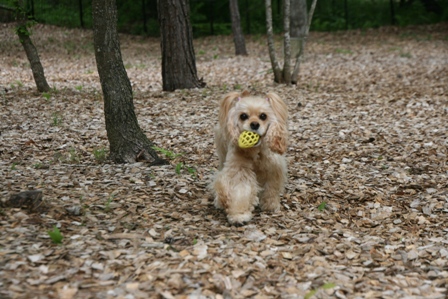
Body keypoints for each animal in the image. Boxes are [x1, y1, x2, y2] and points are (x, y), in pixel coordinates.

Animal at [212, 91, 288, 225]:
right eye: (243, 116)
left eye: (263, 116)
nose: (254, 124)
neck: (255, 150)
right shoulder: (239, 170)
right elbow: (240, 190)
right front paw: (239, 215)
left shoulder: (273, 168)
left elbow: (271, 188)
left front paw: (270, 205)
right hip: (222, 152)